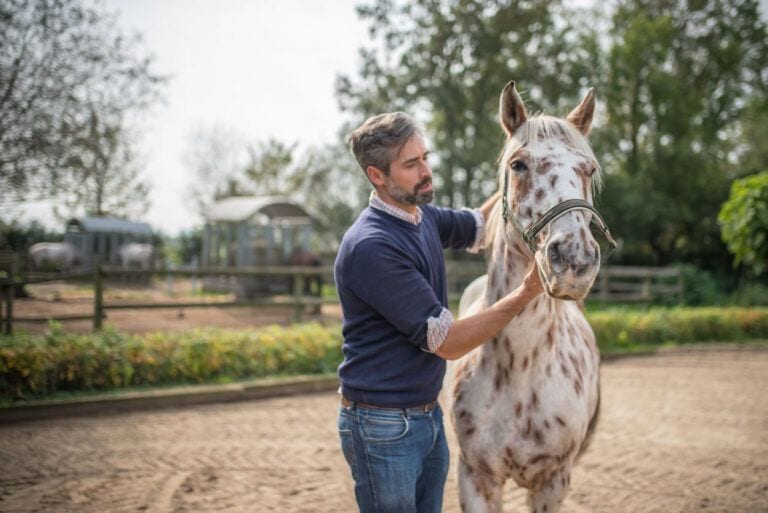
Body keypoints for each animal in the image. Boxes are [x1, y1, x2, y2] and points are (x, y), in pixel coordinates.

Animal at [450, 81, 616, 513]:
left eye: (589, 170)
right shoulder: (476, 477)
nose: (574, 259)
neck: (521, 369)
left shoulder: (552, 481)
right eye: (518, 165)